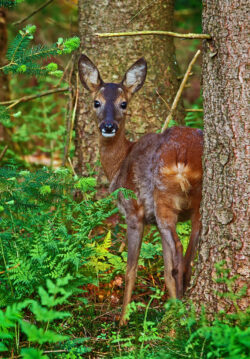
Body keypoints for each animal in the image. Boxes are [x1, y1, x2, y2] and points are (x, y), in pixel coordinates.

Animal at [78, 53, 203, 326]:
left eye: (124, 103)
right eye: (96, 102)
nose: (108, 126)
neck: (119, 164)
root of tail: (184, 156)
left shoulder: (134, 212)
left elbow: (131, 268)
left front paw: (123, 320)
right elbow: (165, 270)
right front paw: (170, 307)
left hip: (163, 199)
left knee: (179, 252)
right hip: (198, 202)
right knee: (188, 252)